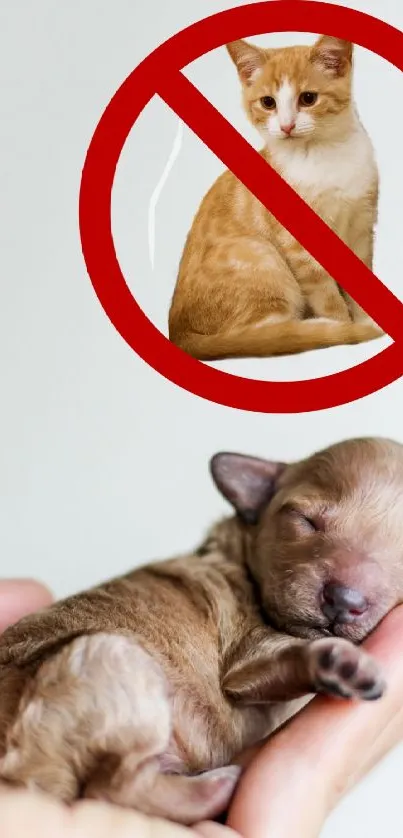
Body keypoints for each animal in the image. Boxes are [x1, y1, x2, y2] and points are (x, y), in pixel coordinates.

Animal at [0, 440, 403, 828]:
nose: (344, 599)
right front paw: (341, 661)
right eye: (307, 521)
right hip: (112, 658)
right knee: (112, 785)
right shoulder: (248, 654)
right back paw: (218, 787)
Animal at [169, 36, 384, 360]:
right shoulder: (298, 245)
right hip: (257, 253)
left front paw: (364, 318)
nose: (286, 126)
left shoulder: (360, 225)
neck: (322, 155)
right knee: (265, 335)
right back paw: (310, 328)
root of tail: (179, 334)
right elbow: (326, 295)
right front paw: (345, 327)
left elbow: (360, 276)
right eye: (268, 102)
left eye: (308, 98)